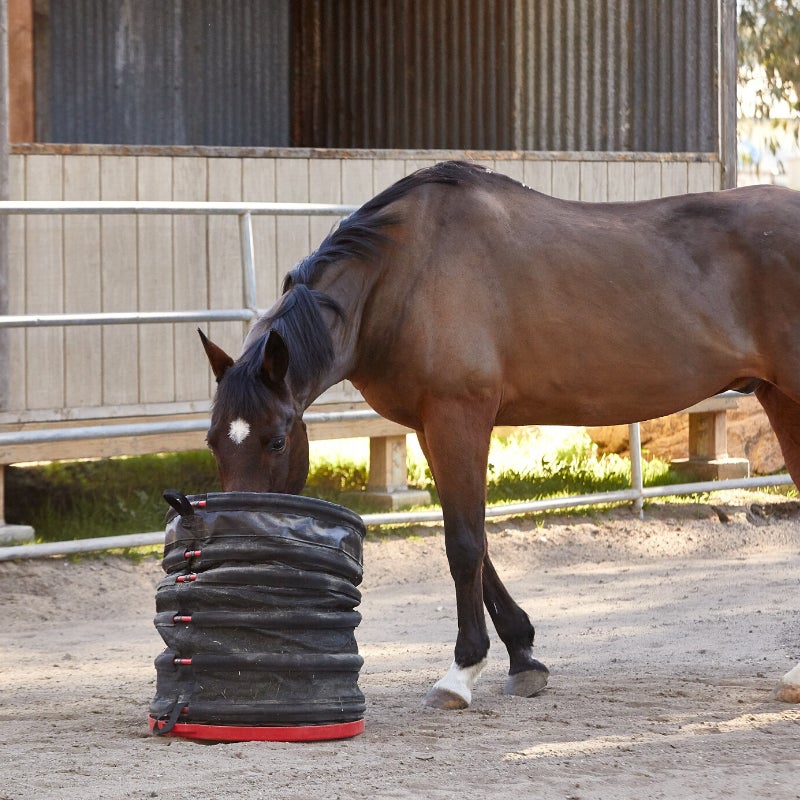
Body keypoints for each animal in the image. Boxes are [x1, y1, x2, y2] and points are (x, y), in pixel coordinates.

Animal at [198, 161, 800, 708]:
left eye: (277, 440)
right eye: (213, 443)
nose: (235, 547)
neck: (403, 273)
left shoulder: (458, 417)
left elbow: (463, 544)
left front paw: (461, 672)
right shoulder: (433, 427)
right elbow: (476, 539)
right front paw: (523, 655)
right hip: (781, 397)